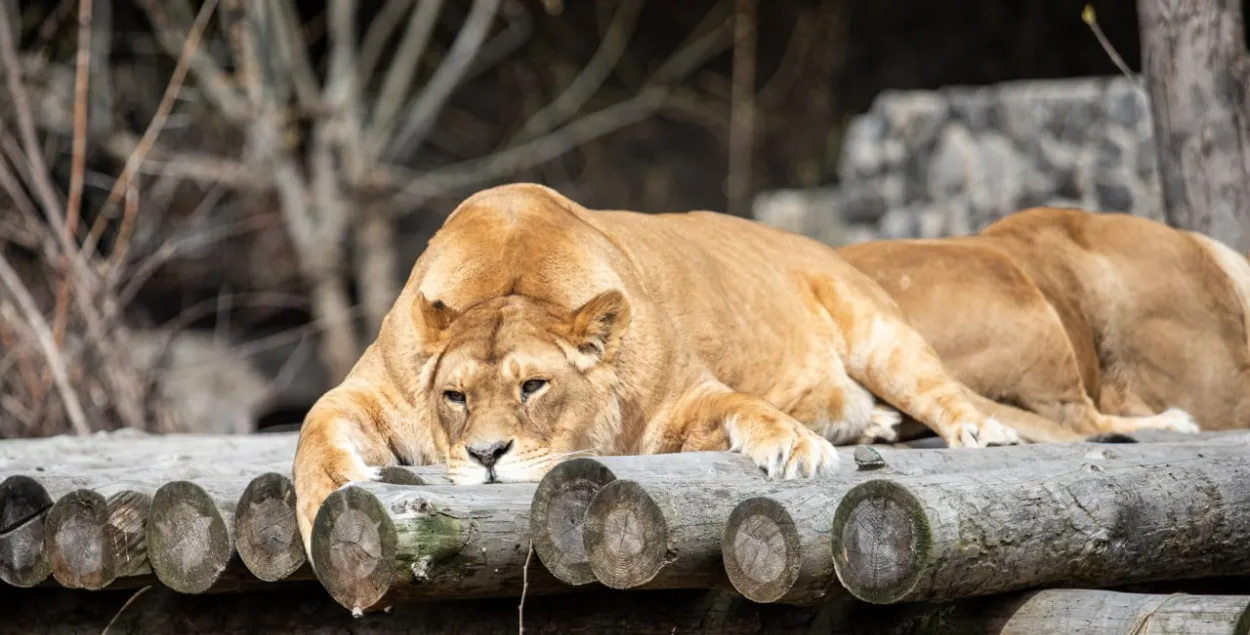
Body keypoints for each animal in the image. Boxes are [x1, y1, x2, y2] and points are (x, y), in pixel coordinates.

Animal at [292, 181, 1025, 547]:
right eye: (454, 396)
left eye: (534, 385)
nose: (486, 455)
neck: (511, 278)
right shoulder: (368, 390)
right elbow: (311, 431)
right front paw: (328, 496)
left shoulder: (683, 398)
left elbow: (742, 405)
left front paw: (797, 447)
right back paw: (874, 424)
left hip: (878, 331)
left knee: (939, 387)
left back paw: (981, 431)